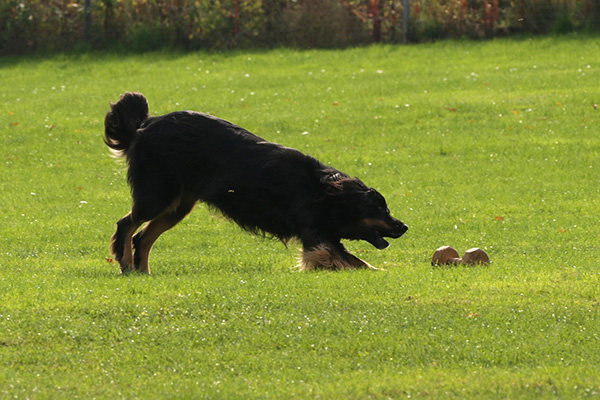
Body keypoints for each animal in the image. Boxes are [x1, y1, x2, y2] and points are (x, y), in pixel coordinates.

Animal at [104, 92, 408, 274]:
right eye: (380, 209)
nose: (403, 227)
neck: (321, 191)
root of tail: (144, 124)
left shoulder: (323, 234)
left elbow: (354, 259)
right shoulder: (316, 236)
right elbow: (351, 261)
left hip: (178, 205)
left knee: (143, 236)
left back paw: (143, 272)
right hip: (157, 195)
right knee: (126, 225)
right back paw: (126, 264)